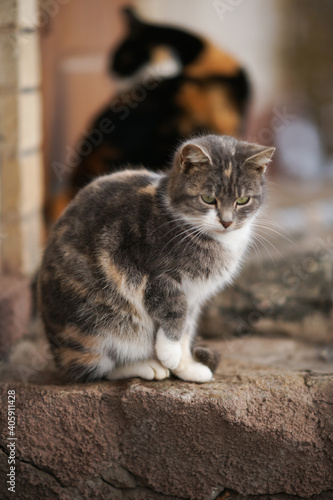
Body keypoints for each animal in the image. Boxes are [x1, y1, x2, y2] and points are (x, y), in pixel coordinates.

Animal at [37, 133, 274, 382]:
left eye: (243, 200)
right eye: (208, 198)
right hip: (95, 326)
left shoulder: (195, 296)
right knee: (98, 368)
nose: (227, 222)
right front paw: (169, 353)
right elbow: (174, 312)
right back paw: (147, 366)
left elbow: (186, 329)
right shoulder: (155, 275)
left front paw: (186, 367)